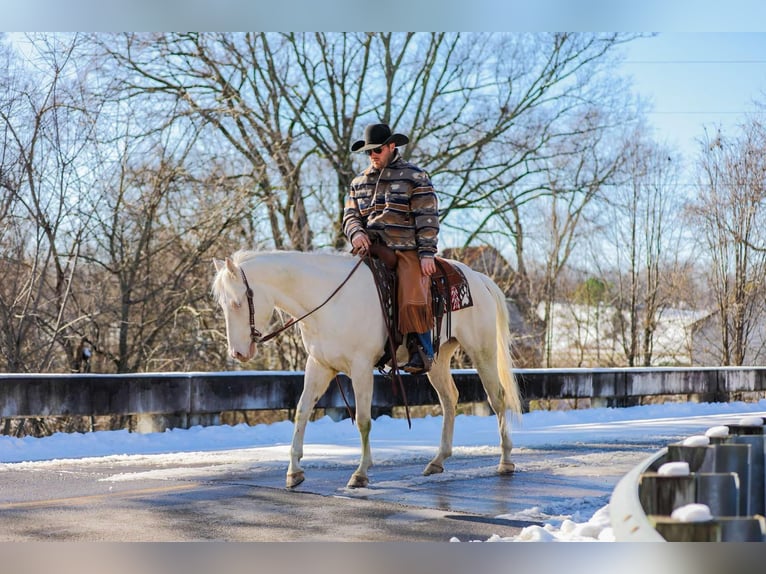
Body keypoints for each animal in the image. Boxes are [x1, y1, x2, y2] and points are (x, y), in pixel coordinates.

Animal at [213, 252, 524, 490]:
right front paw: (293, 472)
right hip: (438, 359)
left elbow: (363, 420)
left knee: (497, 397)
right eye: (223, 305)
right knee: (449, 399)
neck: (328, 303)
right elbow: (302, 412)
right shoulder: (319, 365)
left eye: (238, 303)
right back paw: (437, 461)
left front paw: (360, 474)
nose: (237, 353)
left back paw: (506, 460)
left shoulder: (361, 367)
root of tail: (478, 278)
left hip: (482, 349)